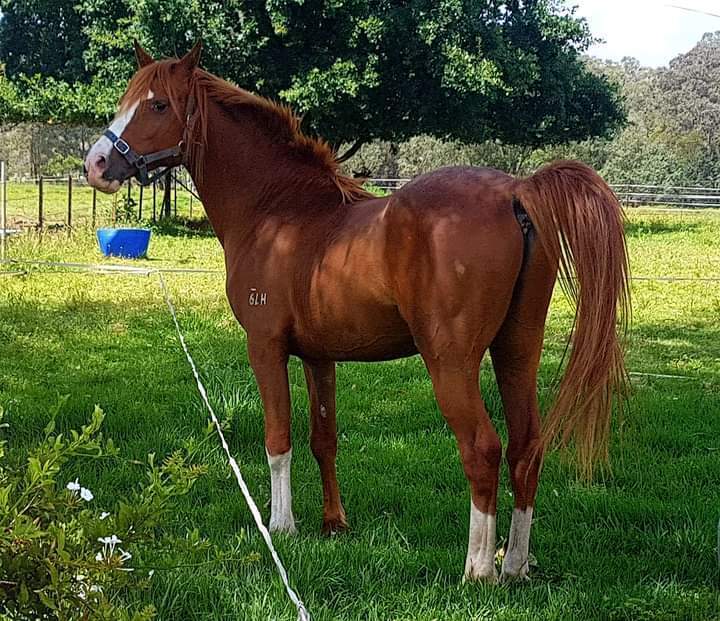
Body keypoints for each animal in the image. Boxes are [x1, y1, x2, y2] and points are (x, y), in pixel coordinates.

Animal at [85, 42, 630, 583]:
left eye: (157, 105)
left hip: (451, 364)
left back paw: (478, 569)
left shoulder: (265, 348)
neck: (277, 212)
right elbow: (323, 438)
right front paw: (333, 523)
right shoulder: (319, 357)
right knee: (526, 447)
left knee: (482, 448)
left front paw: (281, 527)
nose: (96, 163)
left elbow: (277, 438)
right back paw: (514, 563)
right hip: (516, 353)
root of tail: (516, 190)